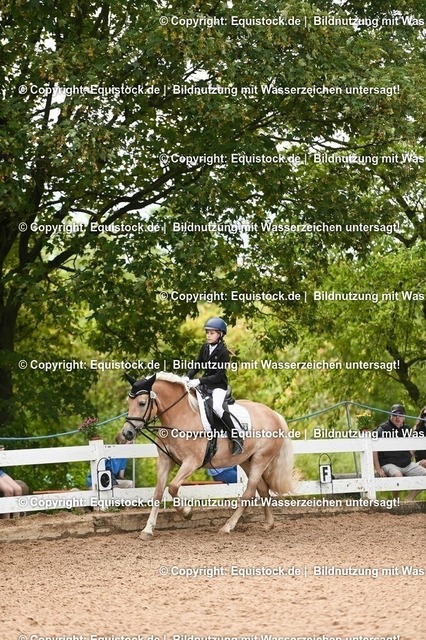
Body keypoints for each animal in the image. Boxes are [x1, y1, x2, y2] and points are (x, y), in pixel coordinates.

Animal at [122, 371, 297, 539]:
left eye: (142, 403)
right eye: (128, 402)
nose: (127, 433)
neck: (180, 416)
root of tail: (274, 414)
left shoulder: (192, 462)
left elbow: (172, 487)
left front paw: (186, 512)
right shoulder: (165, 461)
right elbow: (158, 493)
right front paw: (147, 530)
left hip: (261, 459)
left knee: (249, 493)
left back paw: (227, 527)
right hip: (247, 460)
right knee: (262, 489)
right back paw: (269, 524)